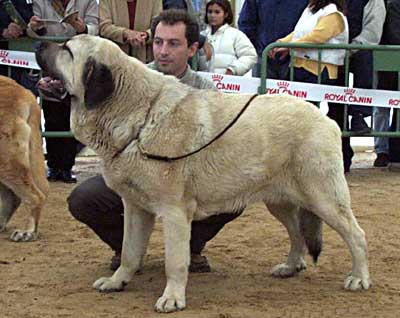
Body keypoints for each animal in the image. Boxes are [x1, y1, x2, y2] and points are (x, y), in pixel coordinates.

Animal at [35, 35, 372, 314]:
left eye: (66, 50)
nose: (38, 44)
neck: (136, 114)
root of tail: (326, 118)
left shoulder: (173, 212)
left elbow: (174, 261)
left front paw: (172, 298)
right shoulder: (136, 208)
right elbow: (130, 251)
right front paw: (118, 281)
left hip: (323, 198)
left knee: (356, 234)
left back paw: (359, 278)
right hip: (280, 202)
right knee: (297, 234)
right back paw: (291, 267)